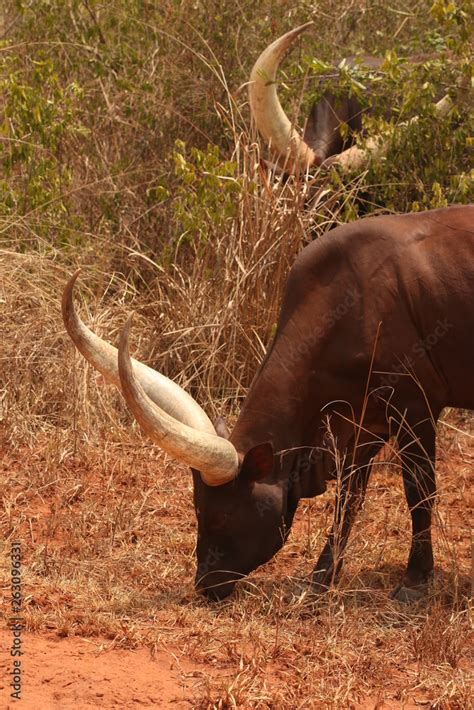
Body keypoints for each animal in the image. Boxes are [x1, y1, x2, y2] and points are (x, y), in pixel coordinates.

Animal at [64, 206, 474, 608]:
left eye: (221, 516)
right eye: (197, 510)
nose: (205, 585)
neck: (353, 302)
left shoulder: (415, 409)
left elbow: (419, 492)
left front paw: (415, 582)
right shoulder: (362, 425)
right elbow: (348, 501)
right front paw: (319, 580)